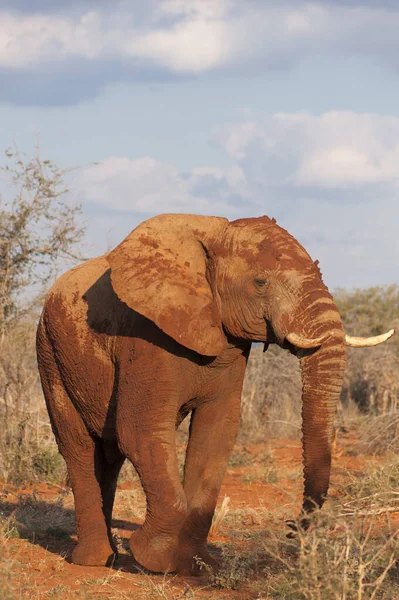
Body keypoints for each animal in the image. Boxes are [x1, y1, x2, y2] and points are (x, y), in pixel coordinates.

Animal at [36, 213, 396, 576]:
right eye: (261, 283)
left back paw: (108, 556)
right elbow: (140, 432)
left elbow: (216, 433)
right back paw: (94, 560)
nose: (292, 527)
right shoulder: (144, 336)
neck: (215, 234)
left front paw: (197, 567)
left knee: (109, 456)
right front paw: (152, 559)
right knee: (80, 448)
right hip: (51, 355)